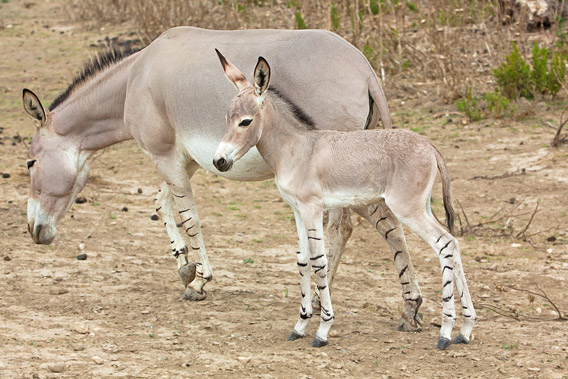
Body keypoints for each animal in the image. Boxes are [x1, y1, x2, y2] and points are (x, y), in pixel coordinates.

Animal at [213, 50, 474, 350]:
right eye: (226, 118)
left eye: (245, 121)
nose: (219, 161)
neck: (296, 148)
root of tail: (429, 144)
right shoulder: (297, 210)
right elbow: (302, 260)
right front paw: (300, 325)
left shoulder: (313, 208)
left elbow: (319, 261)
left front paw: (323, 329)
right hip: (423, 208)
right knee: (453, 245)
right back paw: (465, 330)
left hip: (408, 210)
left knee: (445, 245)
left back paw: (446, 332)